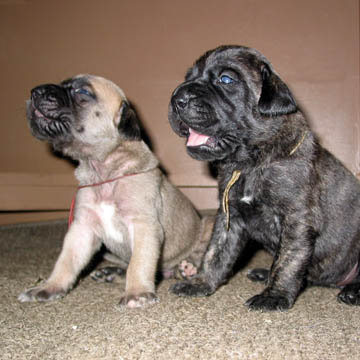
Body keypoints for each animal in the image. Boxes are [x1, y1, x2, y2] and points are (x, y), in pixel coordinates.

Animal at [168, 44, 360, 310]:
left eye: (226, 79)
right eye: (189, 77)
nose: (177, 99)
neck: (250, 164)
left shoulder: (296, 219)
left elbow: (288, 261)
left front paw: (274, 296)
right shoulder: (230, 216)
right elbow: (216, 252)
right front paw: (201, 282)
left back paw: (353, 292)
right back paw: (263, 273)